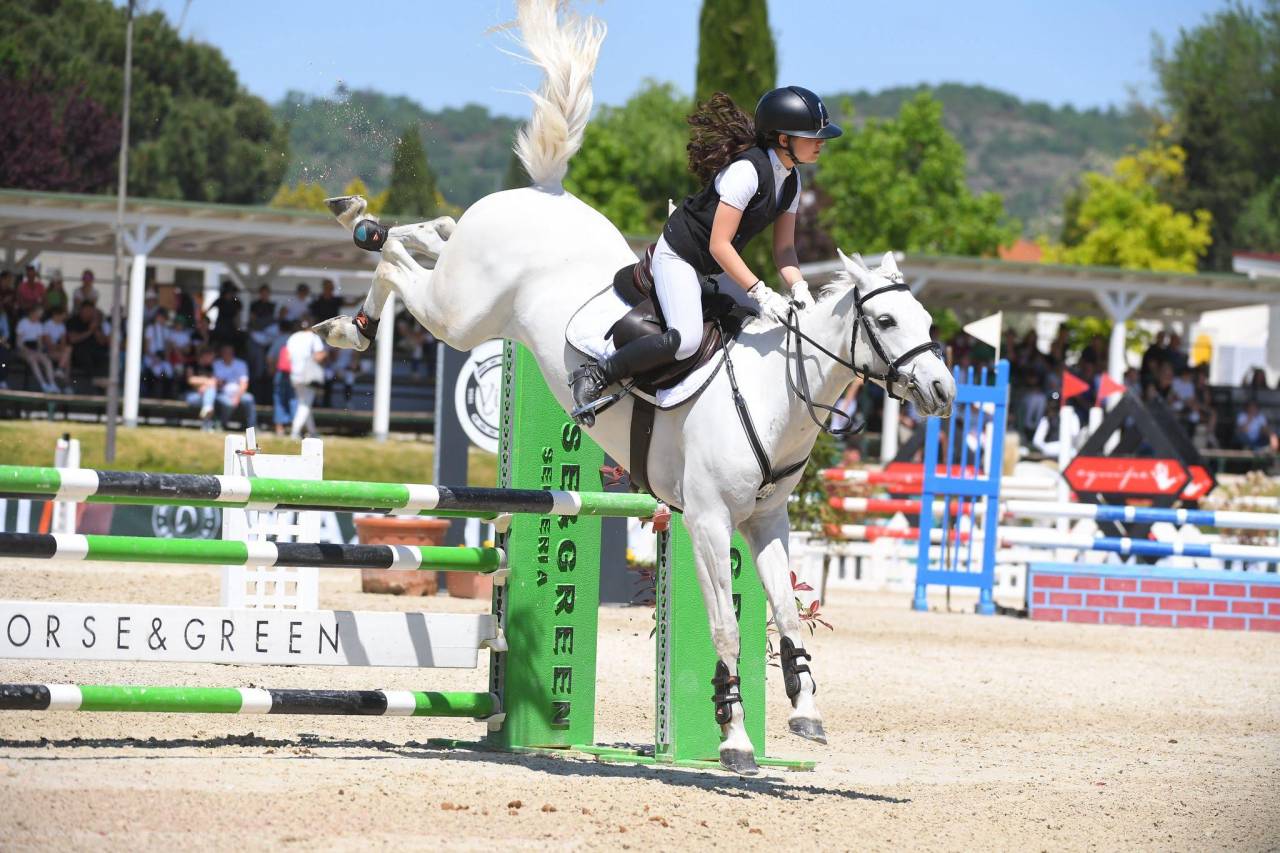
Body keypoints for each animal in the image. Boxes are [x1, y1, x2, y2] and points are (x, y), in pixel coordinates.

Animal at [314, 0, 955, 775]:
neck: (776, 395)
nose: (943, 390)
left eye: (926, 319)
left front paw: (806, 712)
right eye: (886, 320)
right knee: (400, 270)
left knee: (431, 237)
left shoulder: (765, 521)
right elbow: (726, 626)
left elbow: (788, 614)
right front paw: (735, 741)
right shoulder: (707, 520)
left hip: (472, 300)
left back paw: (376, 230)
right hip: (461, 315)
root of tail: (547, 191)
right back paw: (353, 289)